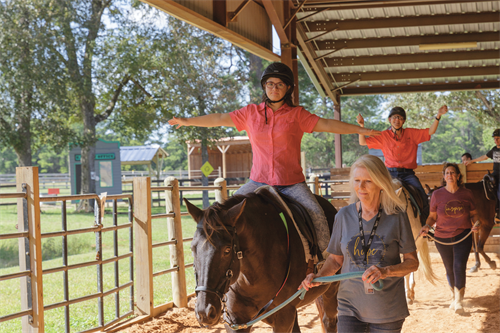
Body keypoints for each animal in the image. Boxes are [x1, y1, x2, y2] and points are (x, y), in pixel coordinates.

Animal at [187, 189, 340, 332]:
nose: (205, 312)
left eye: (227, 250)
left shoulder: (284, 316)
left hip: (330, 291)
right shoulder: (236, 321)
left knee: (328, 321)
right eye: (193, 248)